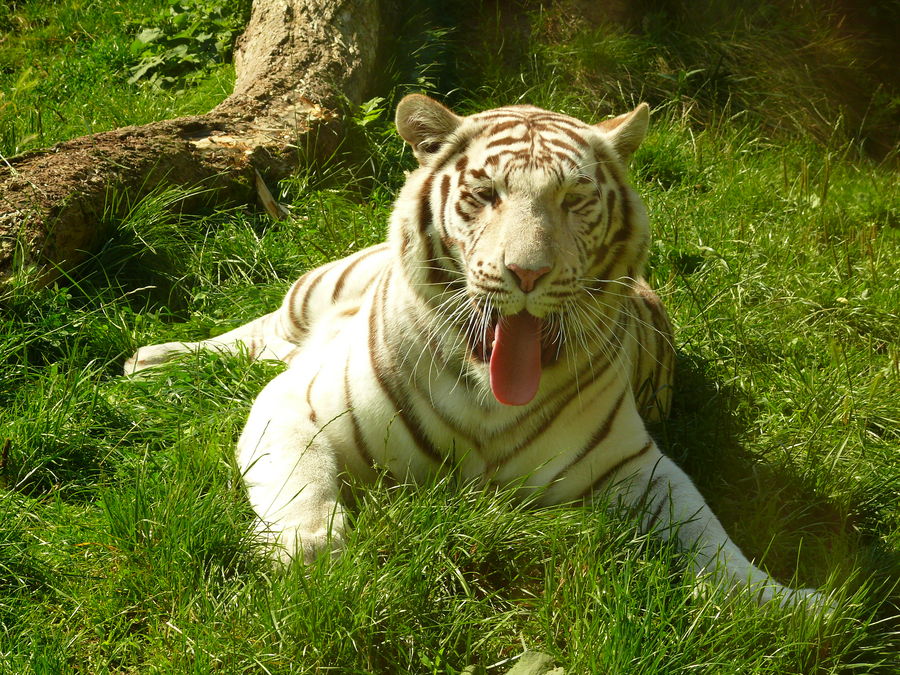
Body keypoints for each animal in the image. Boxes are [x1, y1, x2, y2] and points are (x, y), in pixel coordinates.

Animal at [126, 93, 824, 608]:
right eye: (486, 195)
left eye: (573, 199)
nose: (527, 274)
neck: (490, 393)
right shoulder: (299, 404)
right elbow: (300, 491)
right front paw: (311, 567)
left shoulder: (631, 465)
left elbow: (711, 537)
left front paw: (789, 604)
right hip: (315, 292)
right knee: (256, 336)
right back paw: (149, 361)